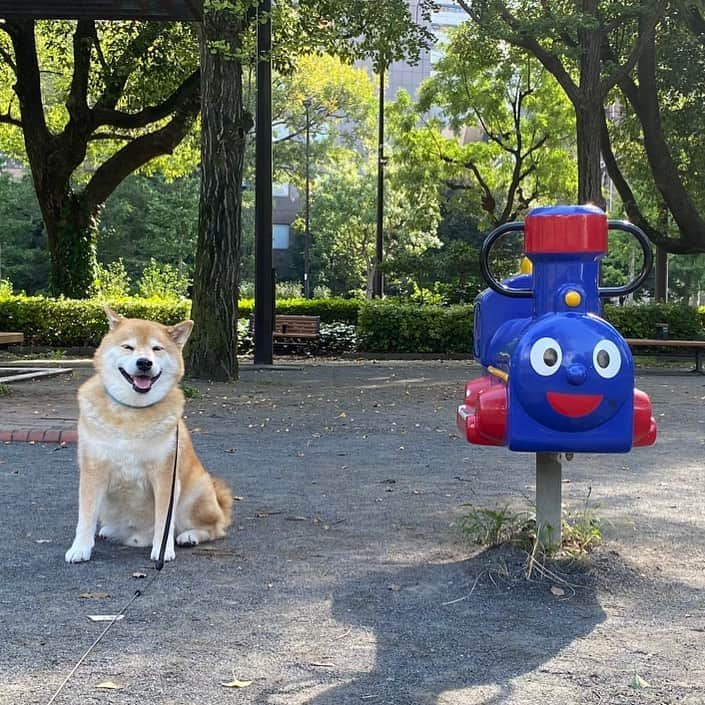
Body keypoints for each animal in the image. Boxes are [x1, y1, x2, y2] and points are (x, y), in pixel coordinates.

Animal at [65, 306, 234, 564]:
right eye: (128, 347)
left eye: (157, 348)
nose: (144, 362)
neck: (132, 412)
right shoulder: (93, 470)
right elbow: (85, 516)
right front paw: (80, 548)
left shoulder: (165, 475)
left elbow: (164, 519)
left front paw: (163, 550)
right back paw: (108, 530)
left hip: (195, 494)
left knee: (214, 527)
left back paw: (189, 536)